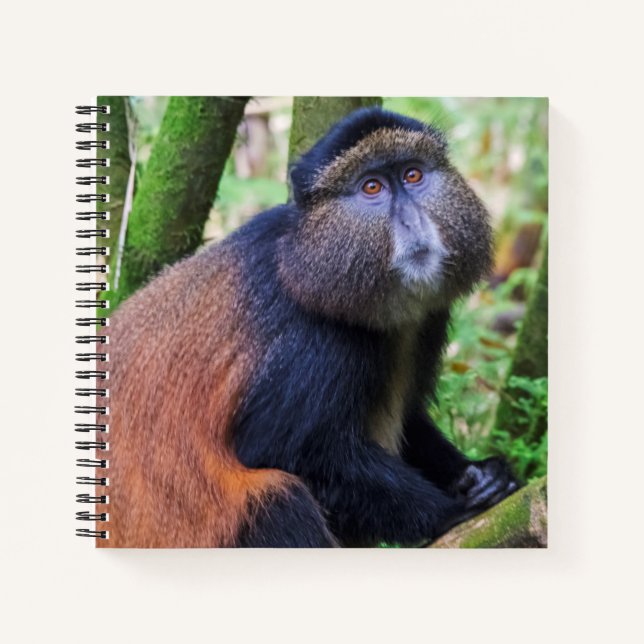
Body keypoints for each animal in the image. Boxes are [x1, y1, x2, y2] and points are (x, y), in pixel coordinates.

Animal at [95, 106, 518, 548]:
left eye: (413, 175)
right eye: (372, 187)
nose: (411, 220)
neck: (304, 260)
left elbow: (412, 418)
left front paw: (482, 474)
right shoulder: (313, 342)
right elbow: (282, 450)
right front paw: (453, 510)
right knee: (279, 499)